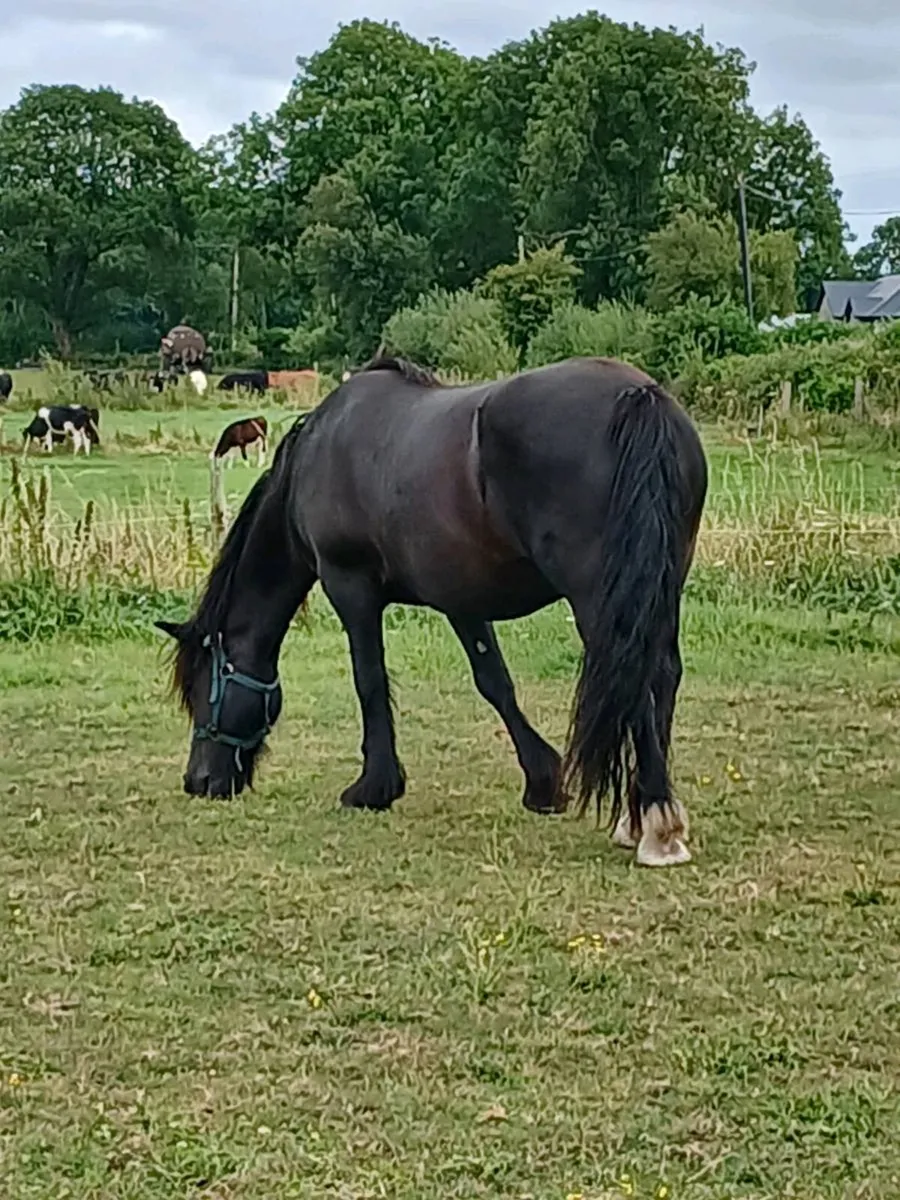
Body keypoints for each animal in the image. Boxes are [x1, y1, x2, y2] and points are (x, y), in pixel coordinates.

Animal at [156, 356, 708, 868]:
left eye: (202, 688)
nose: (198, 780)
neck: (321, 450)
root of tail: (638, 397)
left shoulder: (349, 586)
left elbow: (369, 680)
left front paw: (374, 787)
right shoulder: (461, 598)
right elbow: (495, 682)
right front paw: (542, 782)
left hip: (601, 599)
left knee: (634, 674)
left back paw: (657, 825)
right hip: (657, 587)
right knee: (663, 674)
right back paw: (638, 817)